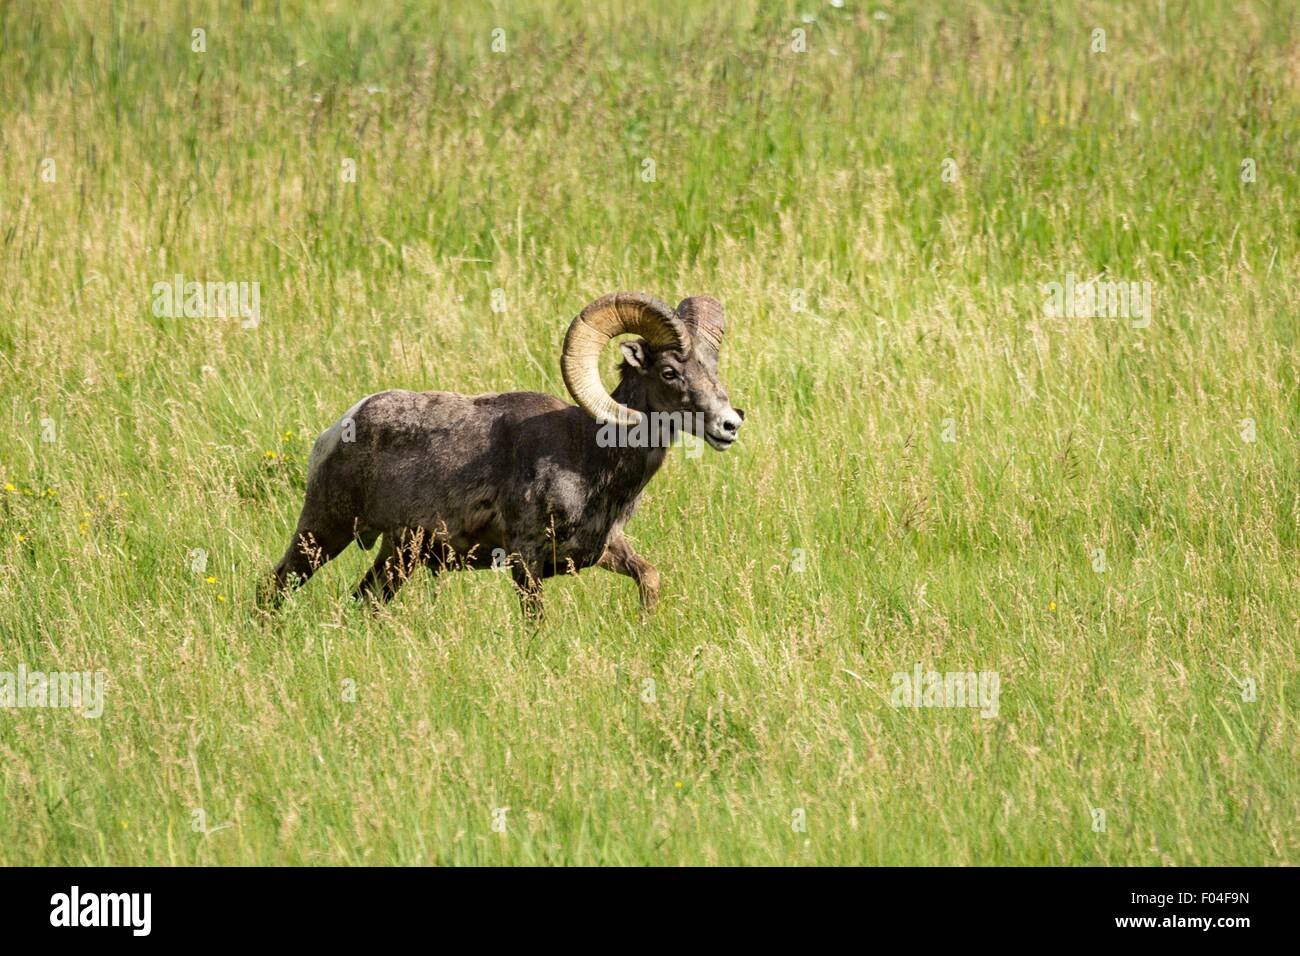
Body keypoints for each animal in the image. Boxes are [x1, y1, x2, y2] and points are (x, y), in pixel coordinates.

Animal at [257, 292, 744, 619]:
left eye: (711, 369)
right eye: (670, 372)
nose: (729, 424)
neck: (589, 458)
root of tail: (339, 428)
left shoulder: (606, 549)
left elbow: (649, 578)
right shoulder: (524, 560)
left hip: (397, 558)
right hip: (325, 531)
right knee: (274, 585)